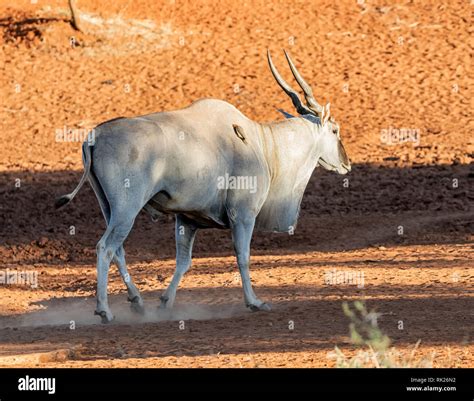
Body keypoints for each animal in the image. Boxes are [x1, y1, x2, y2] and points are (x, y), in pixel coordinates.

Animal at [56, 51, 352, 324]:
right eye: (335, 130)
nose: (347, 164)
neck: (262, 143)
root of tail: (94, 137)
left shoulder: (187, 220)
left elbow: (183, 262)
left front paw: (165, 303)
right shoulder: (242, 216)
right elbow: (243, 256)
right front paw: (254, 302)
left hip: (111, 211)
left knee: (118, 250)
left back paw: (138, 302)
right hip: (126, 210)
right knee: (105, 247)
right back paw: (104, 310)